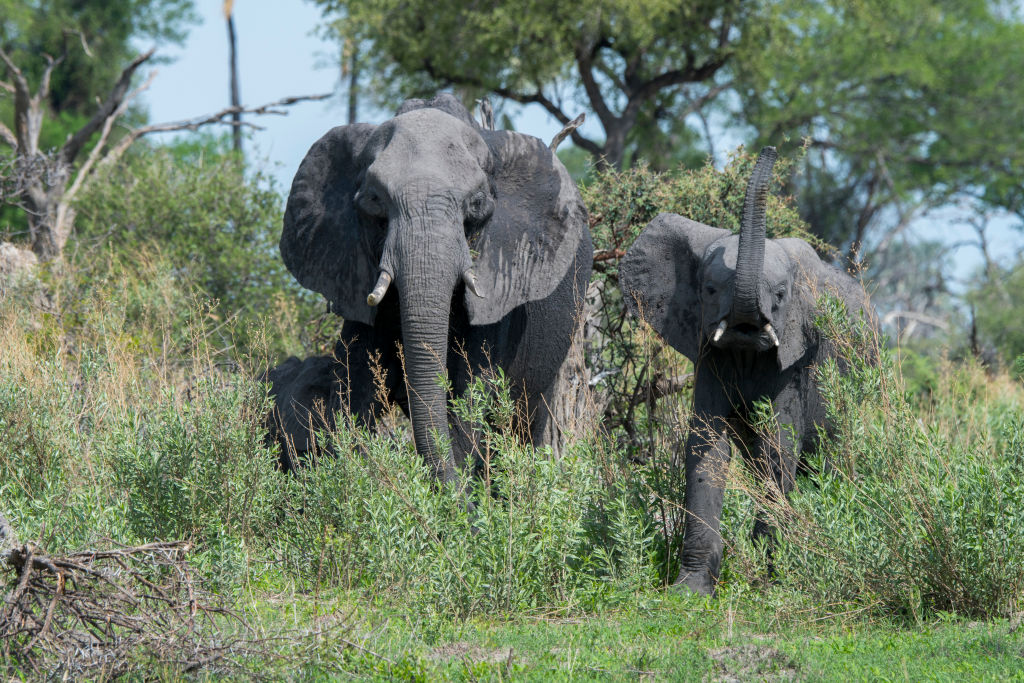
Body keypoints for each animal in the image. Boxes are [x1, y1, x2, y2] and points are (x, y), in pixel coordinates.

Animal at [619, 146, 874, 596]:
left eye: (781, 295)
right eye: (708, 290)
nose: (770, 150)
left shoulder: (795, 359)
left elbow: (778, 446)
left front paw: (771, 580)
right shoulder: (708, 355)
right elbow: (706, 447)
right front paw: (691, 590)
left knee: (831, 457)